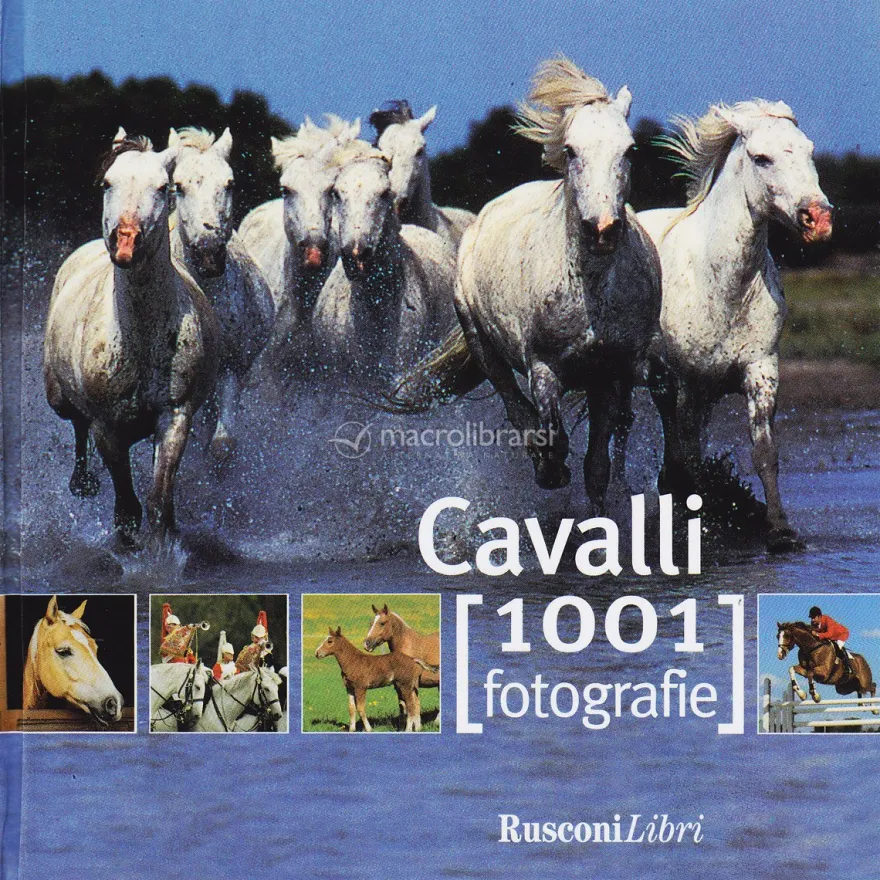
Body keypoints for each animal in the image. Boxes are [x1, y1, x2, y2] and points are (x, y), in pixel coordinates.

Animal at [43, 129, 220, 544]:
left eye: (163, 187)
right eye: (108, 183)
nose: (125, 242)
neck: (139, 338)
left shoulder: (175, 416)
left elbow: (158, 505)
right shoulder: (108, 427)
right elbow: (126, 510)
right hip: (58, 397)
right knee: (76, 423)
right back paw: (82, 483)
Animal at [384, 57, 661, 509]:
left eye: (630, 149)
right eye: (571, 150)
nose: (602, 229)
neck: (591, 291)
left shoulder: (611, 373)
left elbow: (597, 466)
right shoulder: (544, 367)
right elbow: (552, 433)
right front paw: (551, 471)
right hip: (483, 345)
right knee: (516, 407)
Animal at [637, 101, 833, 551]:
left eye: (810, 151)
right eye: (761, 158)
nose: (818, 218)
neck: (722, 287)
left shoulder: (760, 370)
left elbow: (764, 452)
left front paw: (780, 531)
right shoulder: (685, 382)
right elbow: (688, 459)